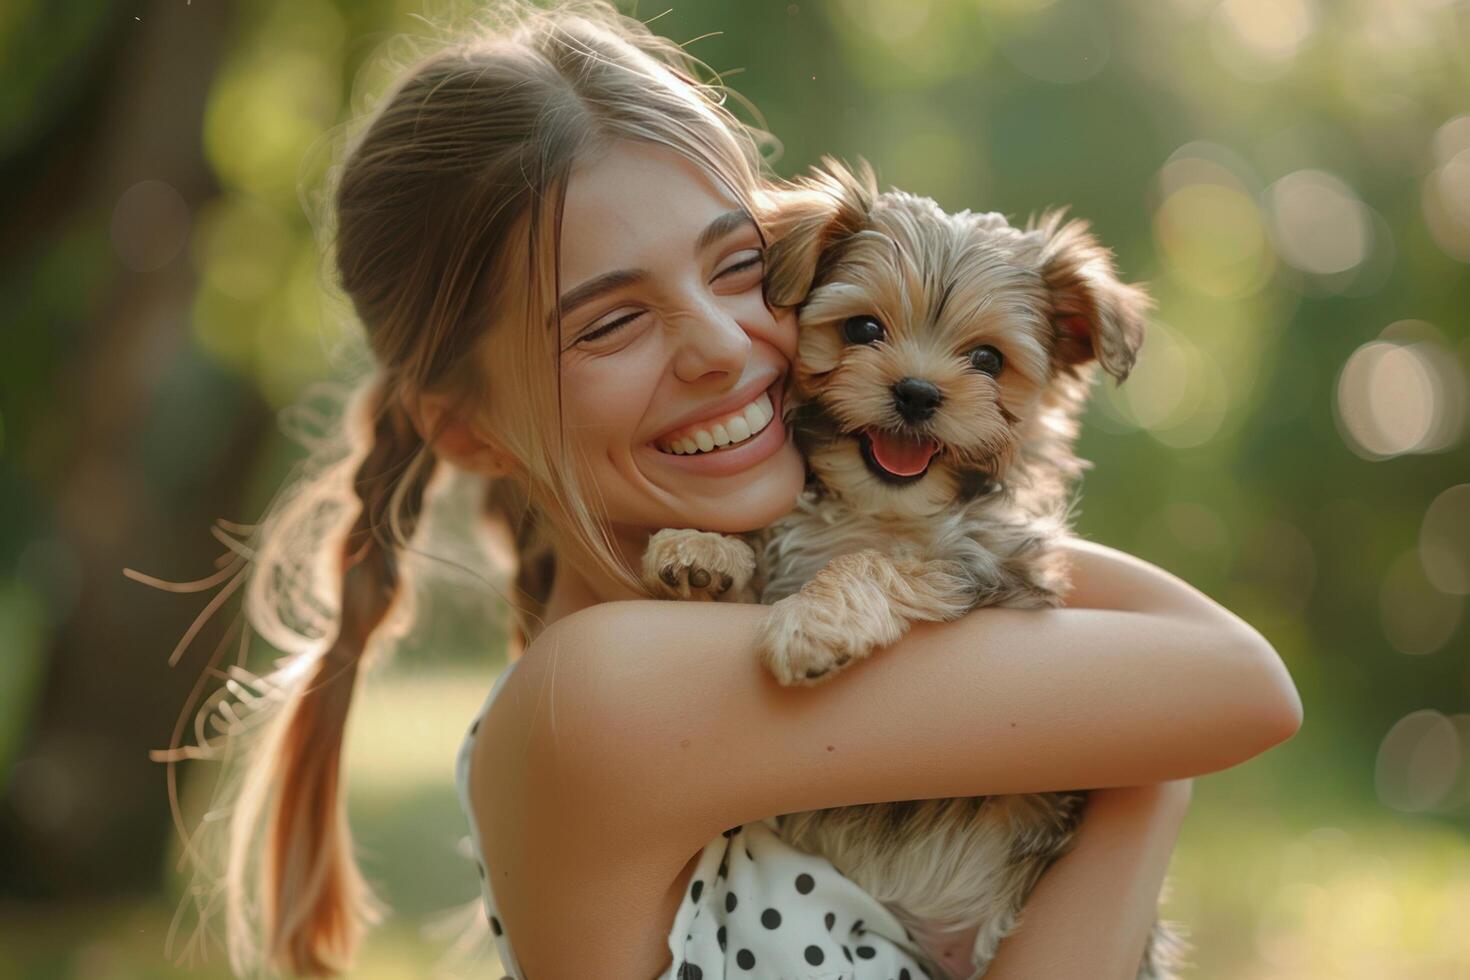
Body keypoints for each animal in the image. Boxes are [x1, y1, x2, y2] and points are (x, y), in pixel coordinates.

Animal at [643, 160, 1181, 980]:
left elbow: (884, 563)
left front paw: (811, 625)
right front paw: (702, 553)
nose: (918, 393)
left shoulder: (987, 569)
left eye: (988, 360)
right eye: (863, 329)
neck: (877, 505)